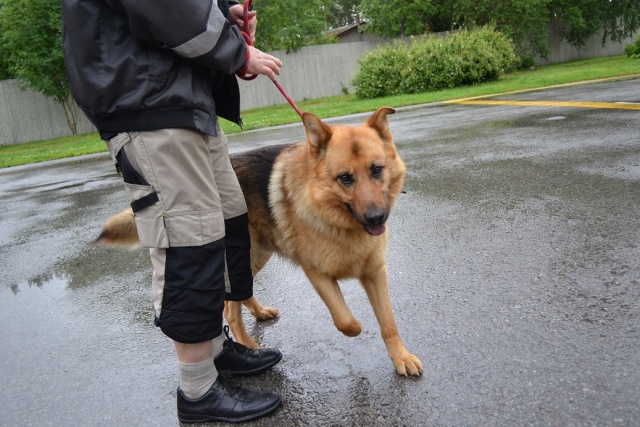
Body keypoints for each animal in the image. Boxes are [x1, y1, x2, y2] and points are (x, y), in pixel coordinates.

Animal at [97, 107, 423, 376]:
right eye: (345, 178)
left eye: (377, 170)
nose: (377, 218)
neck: (336, 219)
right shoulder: (317, 274)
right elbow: (346, 321)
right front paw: (358, 330)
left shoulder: (375, 273)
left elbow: (388, 323)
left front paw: (401, 357)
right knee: (230, 309)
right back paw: (249, 346)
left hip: (255, 255)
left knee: (242, 293)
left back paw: (259, 312)